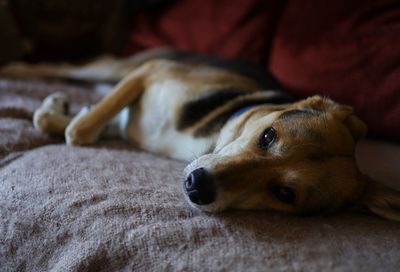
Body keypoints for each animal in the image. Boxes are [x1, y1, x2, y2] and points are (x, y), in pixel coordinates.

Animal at [1, 47, 398, 221]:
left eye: (284, 194)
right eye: (267, 136)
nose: (198, 185)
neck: (209, 138)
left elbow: (78, 127)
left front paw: (57, 109)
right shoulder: (152, 71)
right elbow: (79, 130)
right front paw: (59, 108)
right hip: (129, 64)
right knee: (62, 67)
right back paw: (16, 69)